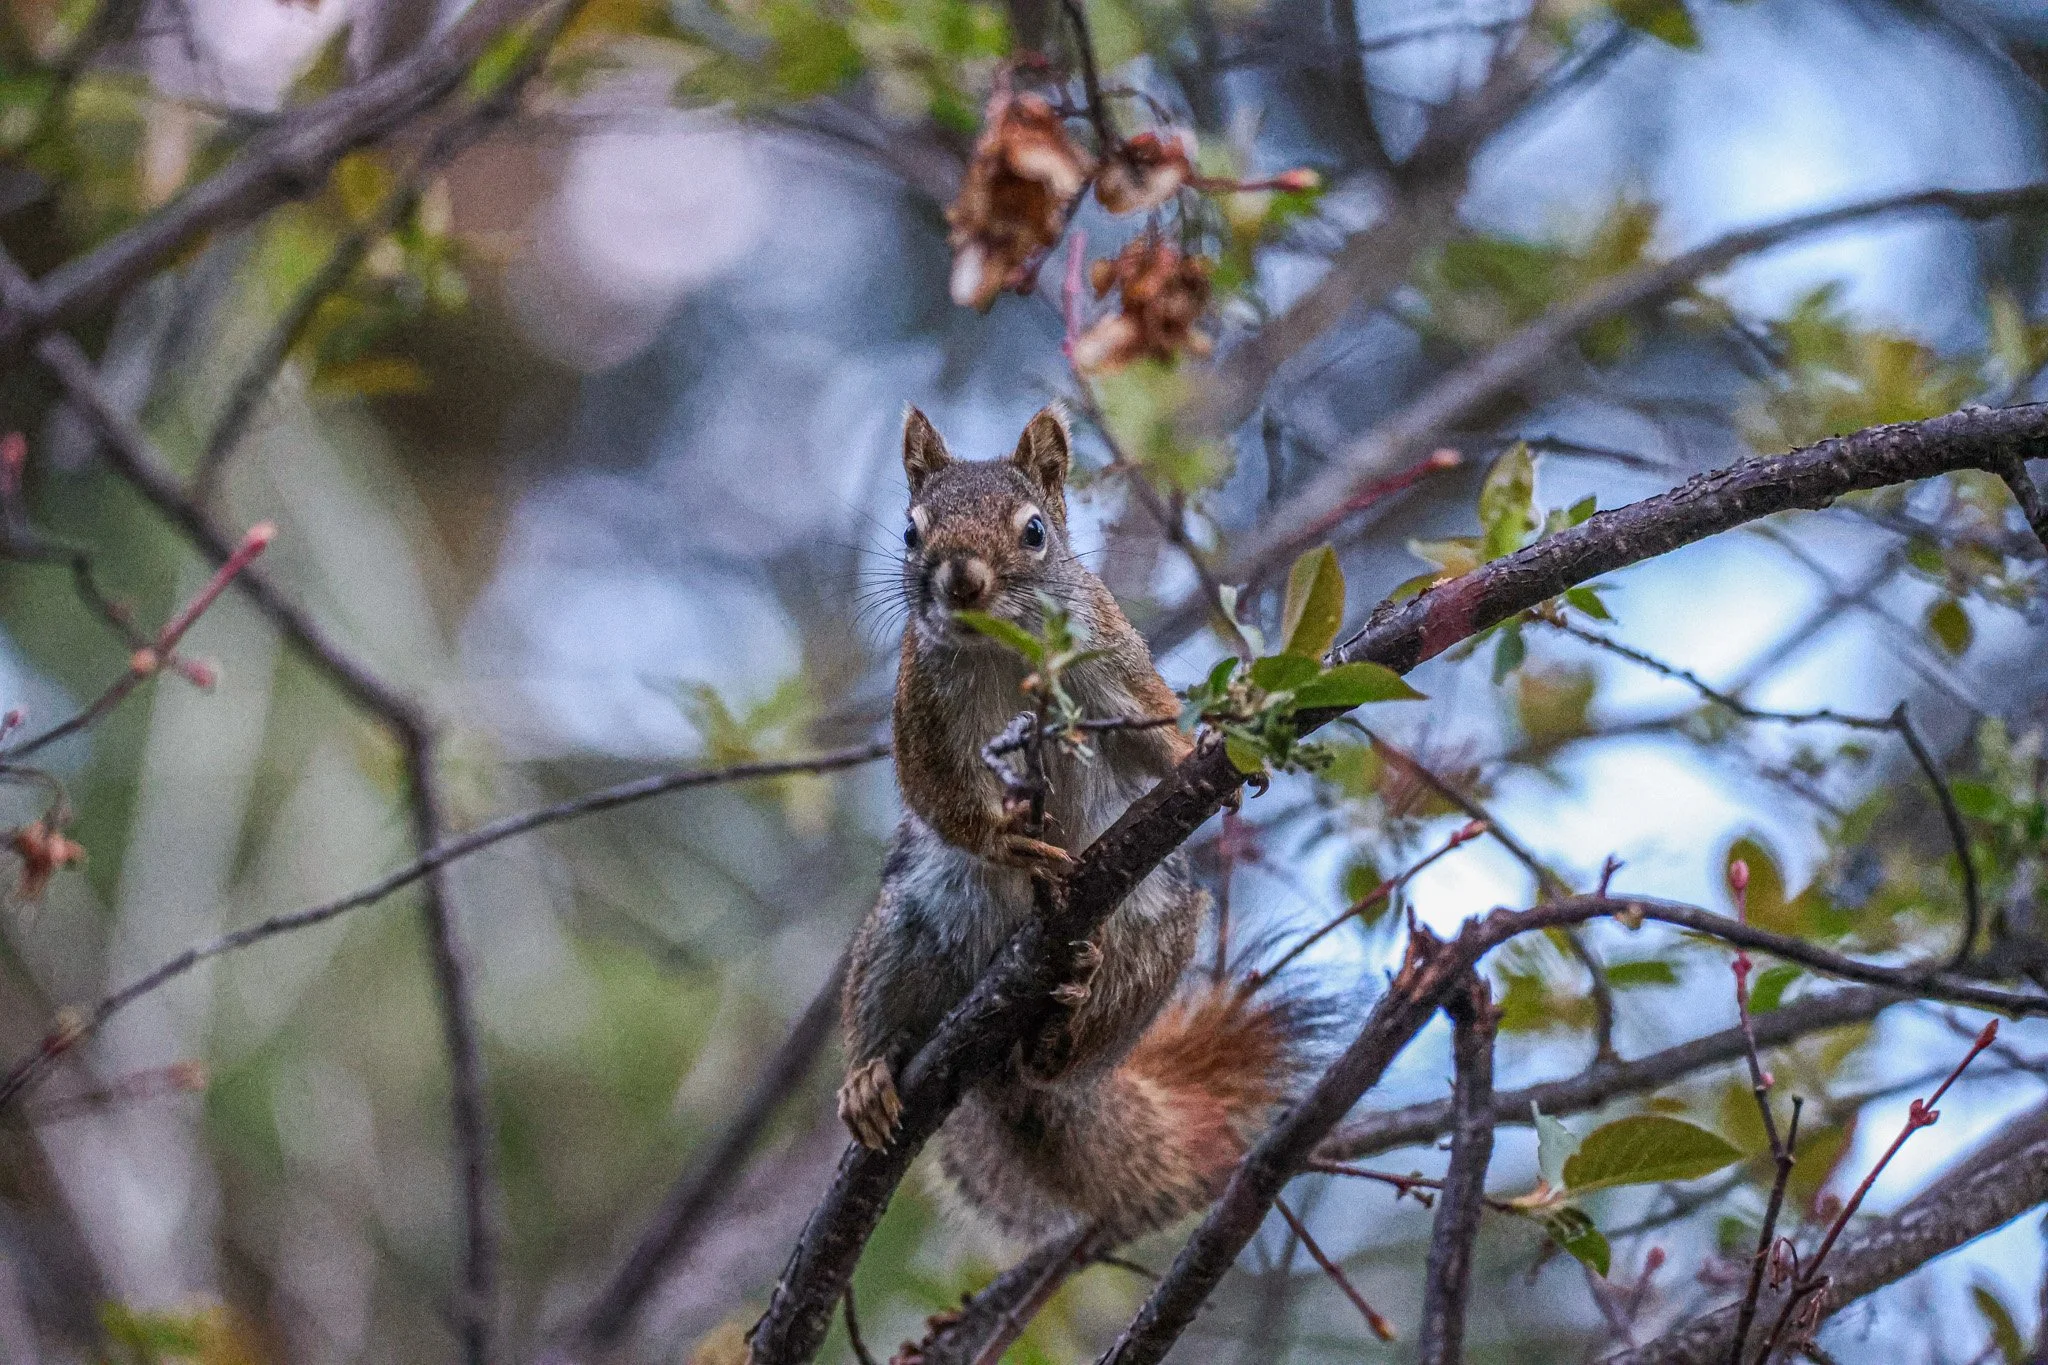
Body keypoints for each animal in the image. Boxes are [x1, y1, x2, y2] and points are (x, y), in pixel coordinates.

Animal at [836, 404, 1315, 1242]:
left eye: (1034, 531)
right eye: (910, 531)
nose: (962, 580)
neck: (1003, 646)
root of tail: (995, 1071)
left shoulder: (1111, 664)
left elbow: (1153, 733)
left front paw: (1210, 752)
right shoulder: (917, 706)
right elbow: (932, 791)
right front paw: (1004, 837)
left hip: (1154, 938)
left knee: (1064, 1046)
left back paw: (1061, 1025)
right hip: (907, 926)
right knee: (883, 1004)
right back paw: (869, 1074)